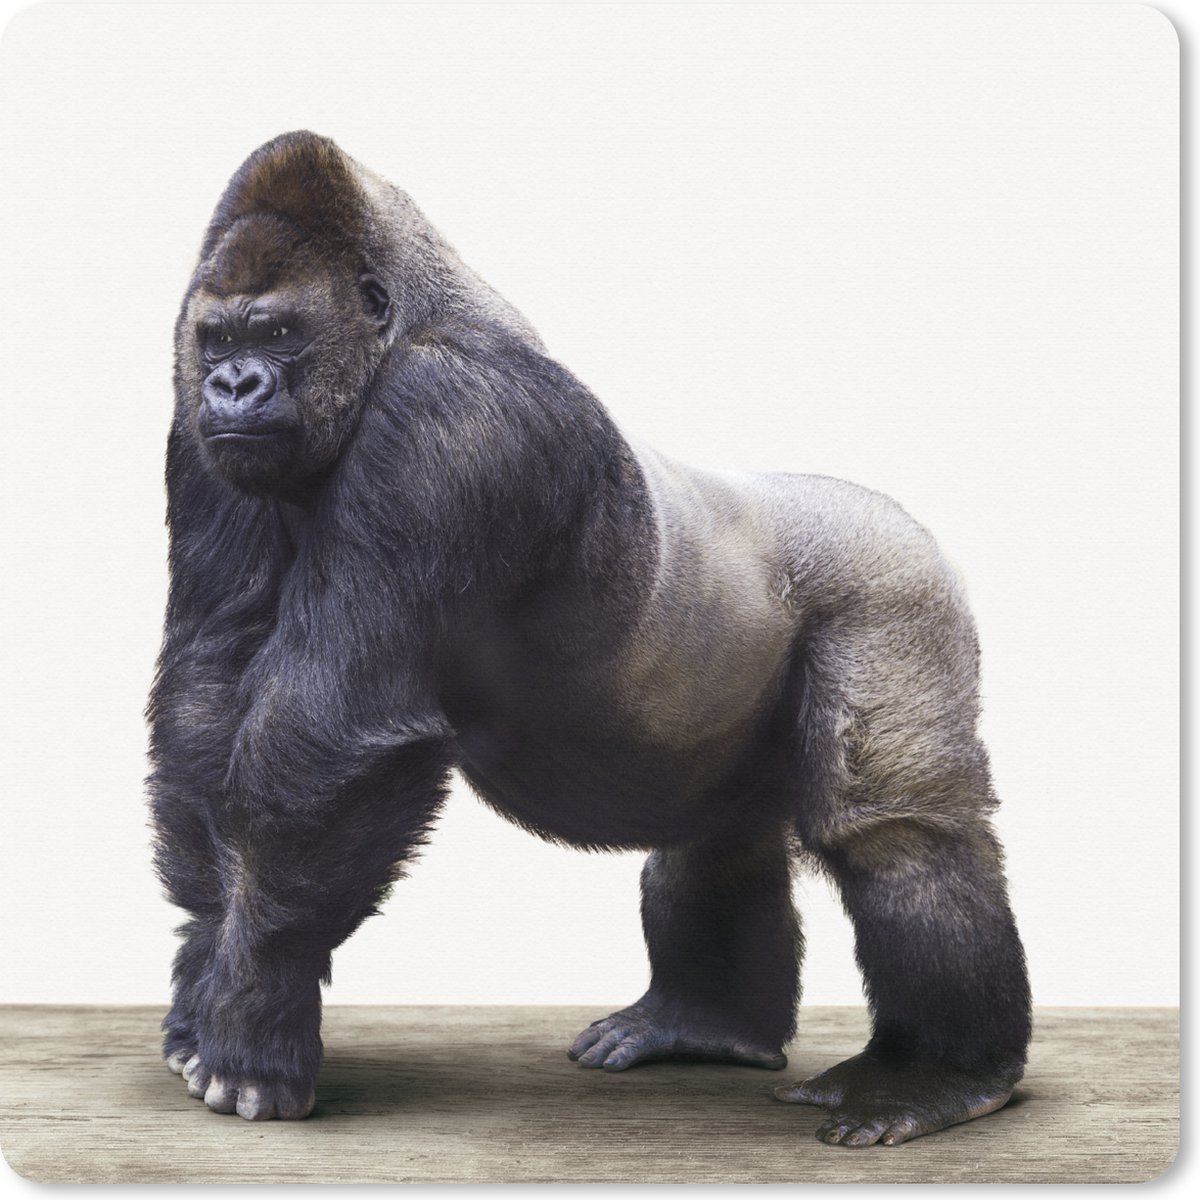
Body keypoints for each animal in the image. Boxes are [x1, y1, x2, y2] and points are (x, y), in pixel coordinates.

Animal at [147, 131, 1031, 1144]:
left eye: (280, 333)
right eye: (220, 340)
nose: (234, 383)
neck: (404, 323)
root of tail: (887, 512)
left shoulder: (451, 421)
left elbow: (330, 736)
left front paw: (255, 1014)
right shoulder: (196, 437)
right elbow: (208, 695)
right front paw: (205, 977)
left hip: (894, 584)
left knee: (896, 833)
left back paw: (941, 1075)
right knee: (721, 836)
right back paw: (708, 1023)